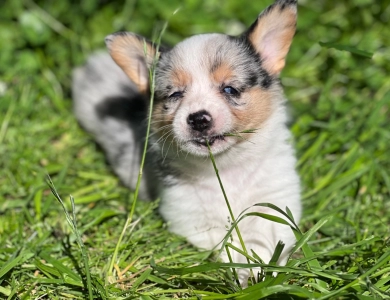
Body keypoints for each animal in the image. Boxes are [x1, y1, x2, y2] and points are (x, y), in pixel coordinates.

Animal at [73, 0, 302, 284]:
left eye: (230, 89)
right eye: (175, 94)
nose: (198, 119)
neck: (226, 167)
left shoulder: (275, 203)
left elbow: (262, 240)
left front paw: (257, 268)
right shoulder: (192, 219)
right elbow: (226, 245)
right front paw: (241, 267)